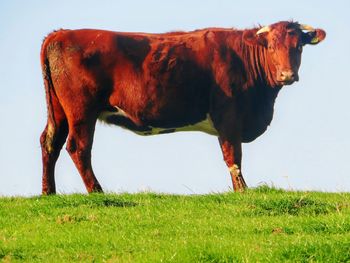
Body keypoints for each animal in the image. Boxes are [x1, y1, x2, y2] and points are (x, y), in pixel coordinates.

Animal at [40, 21, 326, 196]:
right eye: (271, 46)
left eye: (298, 47)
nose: (287, 75)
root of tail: (60, 33)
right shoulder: (229, 117)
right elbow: (233, 156)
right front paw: (242, 191)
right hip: (81, 112)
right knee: (78, 147)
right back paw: (97, 191)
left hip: (59, 112)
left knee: (50, 142)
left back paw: (48, 192)